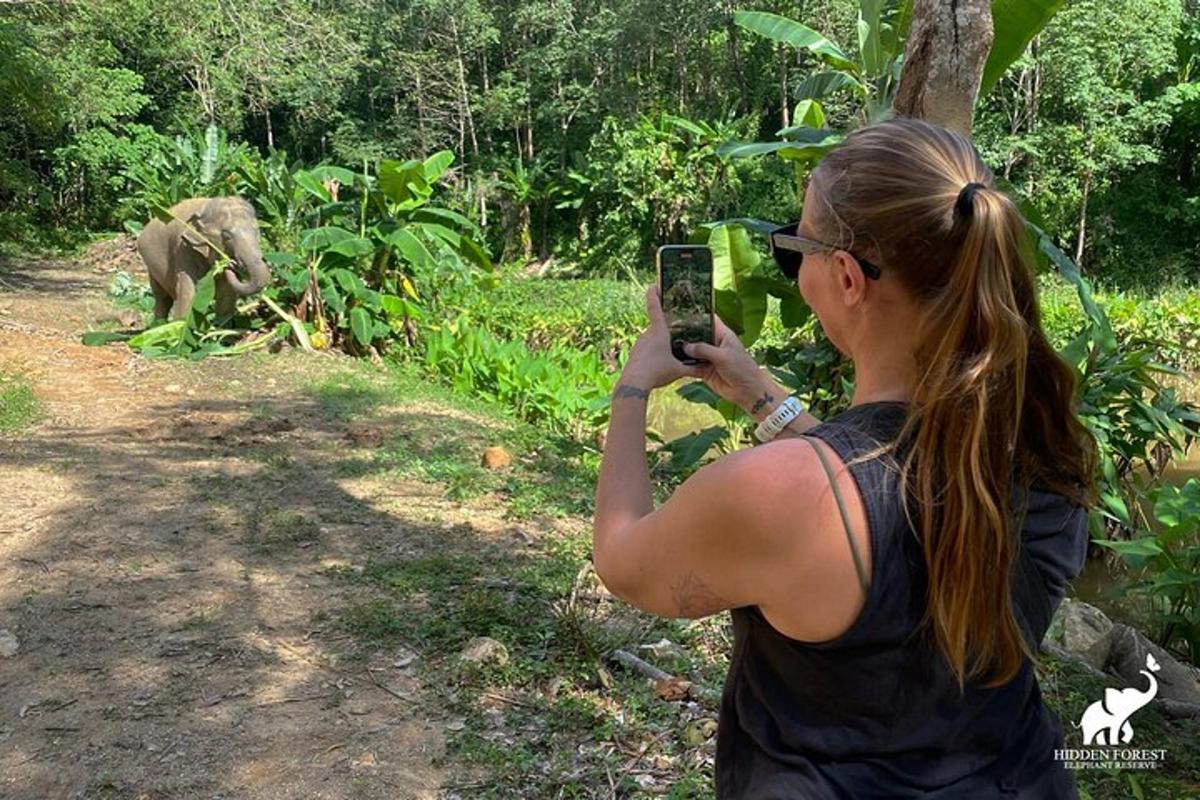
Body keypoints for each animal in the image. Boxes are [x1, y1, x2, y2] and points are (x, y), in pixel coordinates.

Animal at [137, 196, 271, 321]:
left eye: (257, 231)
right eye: (226, 235)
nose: (231, 262)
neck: (204, 209)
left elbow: (226, 294)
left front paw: (220, 326)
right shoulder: (183, 250)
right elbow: (188, 293)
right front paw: (182, 325)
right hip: (152, 269)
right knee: (162, 299)